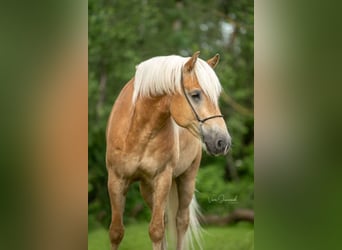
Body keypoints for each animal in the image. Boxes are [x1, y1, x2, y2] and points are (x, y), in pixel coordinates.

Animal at [105, 51, 231, 250]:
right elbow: (116, 232)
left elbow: (156, 230)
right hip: (146, 187)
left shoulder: (162, 178)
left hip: (187, 179)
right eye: (195, 95)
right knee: (164, 219)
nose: (223, 142)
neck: (138, 130)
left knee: (181, 221)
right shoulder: (116, 180)